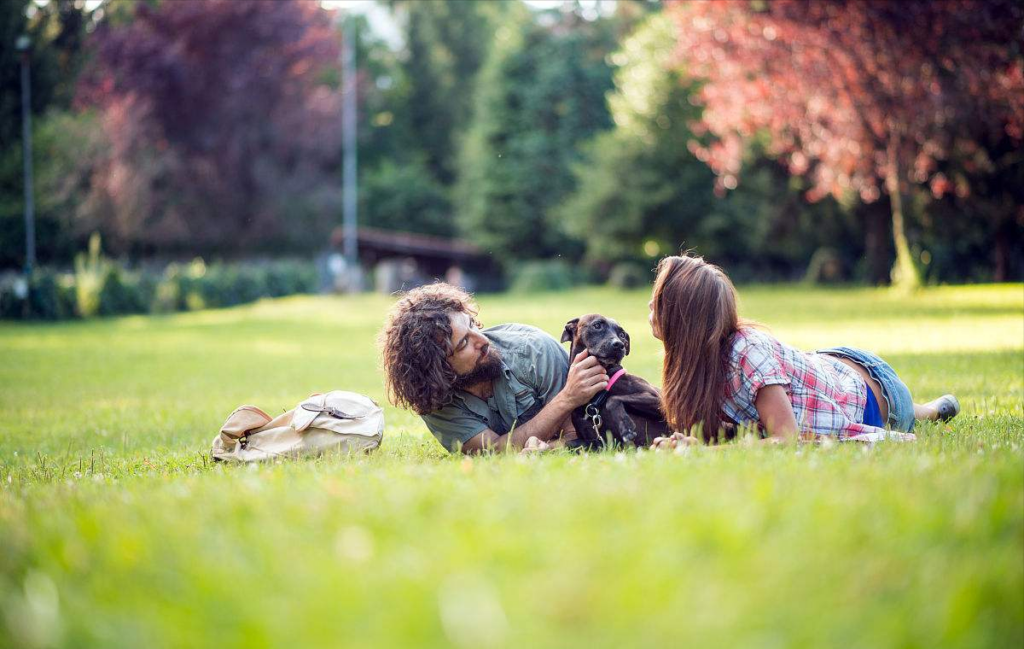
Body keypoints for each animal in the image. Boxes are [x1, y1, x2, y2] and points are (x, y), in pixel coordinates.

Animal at [561, 311, 671, 444]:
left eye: (622, 335)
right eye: (597, 325)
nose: (619, 345)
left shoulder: (658, 399)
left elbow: (613, 399)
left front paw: (626, 427)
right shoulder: (597, 442)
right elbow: (569, 443)